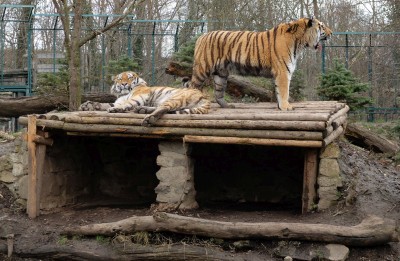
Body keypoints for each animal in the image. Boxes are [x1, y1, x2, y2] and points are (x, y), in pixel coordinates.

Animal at [78, 70, 211, 125]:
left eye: (129, 78)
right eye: (120, 79)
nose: (124, 84)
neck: (123, 93)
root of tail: (205, 97)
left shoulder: (139, 96)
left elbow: (126, 104)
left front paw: (115, 109)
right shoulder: (119, 100)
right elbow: (106, 104)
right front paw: (87, 105)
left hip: (174, 97)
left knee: (164, 109)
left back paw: (148, 118)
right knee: (168, 110)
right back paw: (142, 110)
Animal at [186, 16, 332, 109]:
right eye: (322, 26)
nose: (331, 33)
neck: (300, 42)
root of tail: (201, 37)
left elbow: (278, 91)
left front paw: (280, 106)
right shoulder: (283, 71)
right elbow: (284, 91)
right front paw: (286, 107)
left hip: (221, 74)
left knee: (218, 93)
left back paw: (228, 106)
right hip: (203, 68)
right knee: (192, 86)